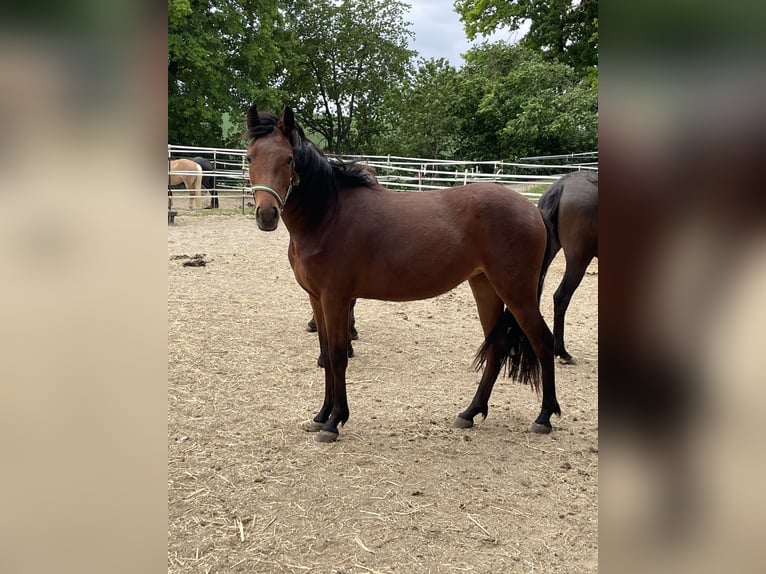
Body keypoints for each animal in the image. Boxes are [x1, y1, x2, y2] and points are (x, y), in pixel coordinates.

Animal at [245, 104, 560, 443]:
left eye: (288, 159)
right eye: (249, 158)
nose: (266, 215)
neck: (328, 215)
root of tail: (533, 211)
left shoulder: (335, 299)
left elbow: (339, 356)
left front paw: (334, 421)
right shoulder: (317, 300)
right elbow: (326, 355)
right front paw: (321, 416)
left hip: (517, 292)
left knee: (543, 341)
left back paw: (544, 417)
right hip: (485, 286)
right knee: (497, 346)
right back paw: (470, 412)